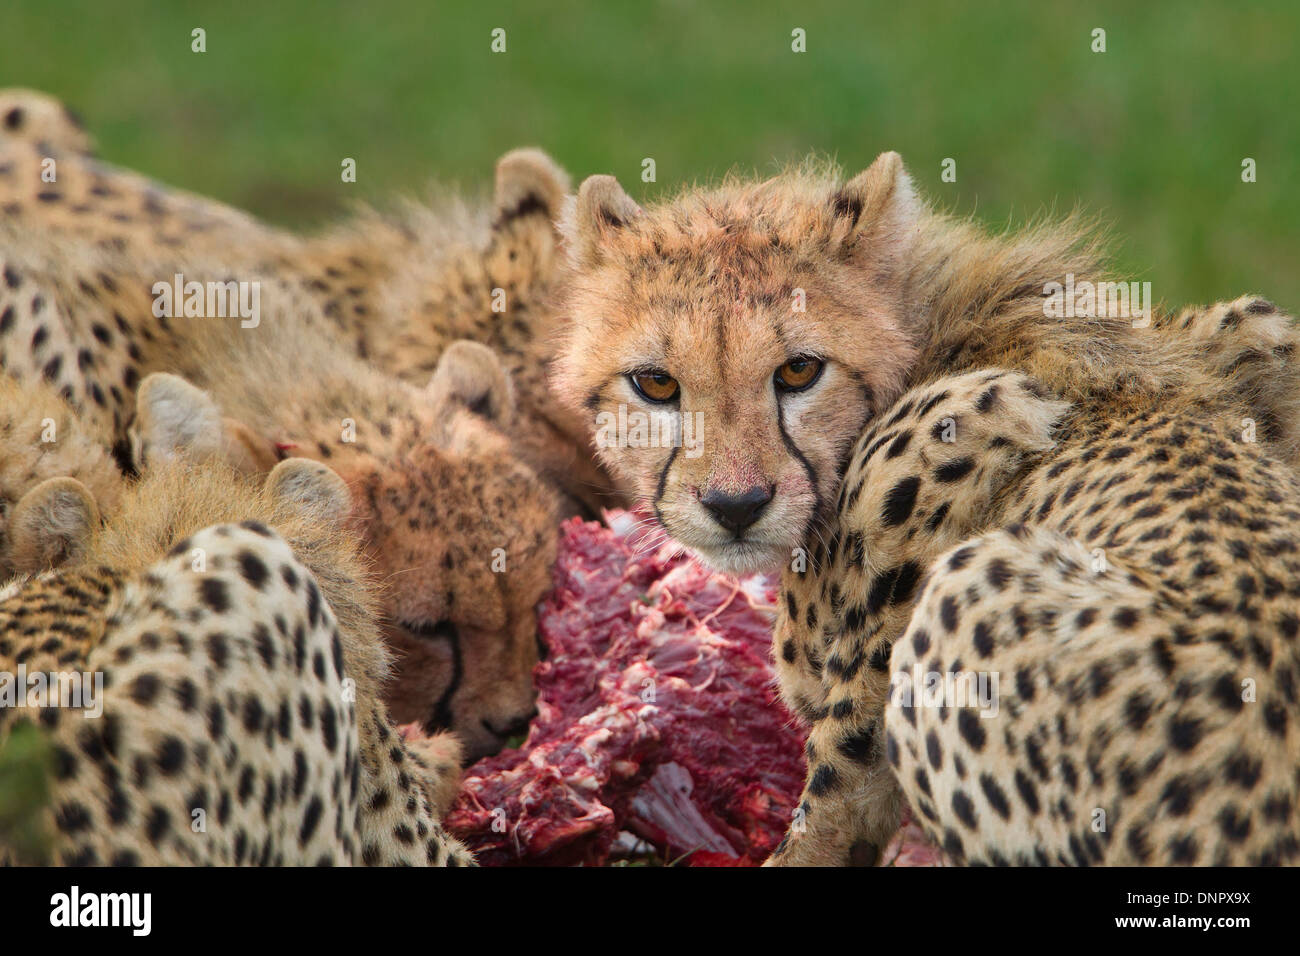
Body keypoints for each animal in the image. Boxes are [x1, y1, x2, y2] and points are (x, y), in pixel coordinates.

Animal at [553, 151, 1294, 868]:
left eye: (799, 371)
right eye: (655, 384)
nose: (736, 506)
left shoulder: (950, 442)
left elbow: (842, 773)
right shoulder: (1254, 331)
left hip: (976, 583)